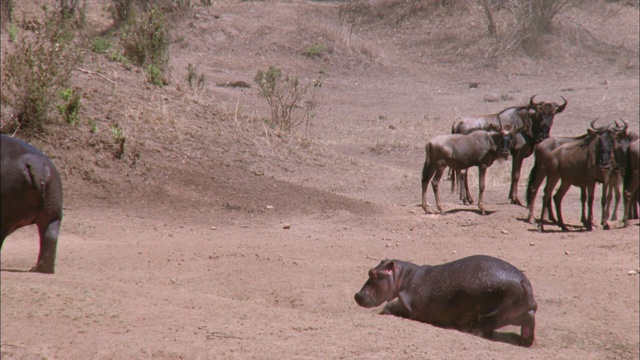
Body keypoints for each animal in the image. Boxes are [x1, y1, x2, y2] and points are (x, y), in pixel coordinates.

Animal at [352, 255, 536, 348]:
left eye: (373, 273)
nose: (357, 295)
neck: (402, 277)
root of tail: (523, 282)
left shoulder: (407, 304)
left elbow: (392, 305)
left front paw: (385, 311)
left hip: (493, 312)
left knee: (484, 326)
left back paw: (468, 330)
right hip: (526, 312)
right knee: (528, 324)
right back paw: (523, 342)